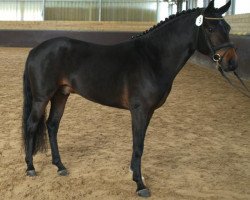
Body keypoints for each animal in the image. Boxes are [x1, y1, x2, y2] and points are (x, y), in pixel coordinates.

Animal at [22, 0, 236, 197]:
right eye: (210, 28)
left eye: (228, 27)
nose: (231, 62)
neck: (152, 59)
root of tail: (35, 50)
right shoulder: (139, 110)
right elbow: (138, 145)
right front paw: (140, 185)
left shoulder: (149, 112)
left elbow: (140, 143)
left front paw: (135, 173)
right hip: (42, 98)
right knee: (31, 126)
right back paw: (31, 168)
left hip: (61, 95)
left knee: (52, 125)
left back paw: (60, 166)